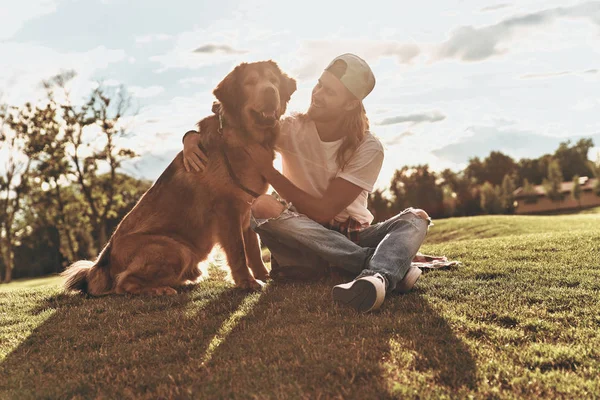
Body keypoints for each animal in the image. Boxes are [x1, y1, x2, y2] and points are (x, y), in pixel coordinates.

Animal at [62, 61, 296, 296]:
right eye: (250, 82)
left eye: (273, 80)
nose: (270, 91)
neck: (243, 136)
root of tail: (102, 263)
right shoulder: (226, 210)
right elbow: (238, 250)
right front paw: (246, 281)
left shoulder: (248, 207)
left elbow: (253, 248)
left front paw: (263, 276)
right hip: (176, 248)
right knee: (124, 283)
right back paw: (160, 289)